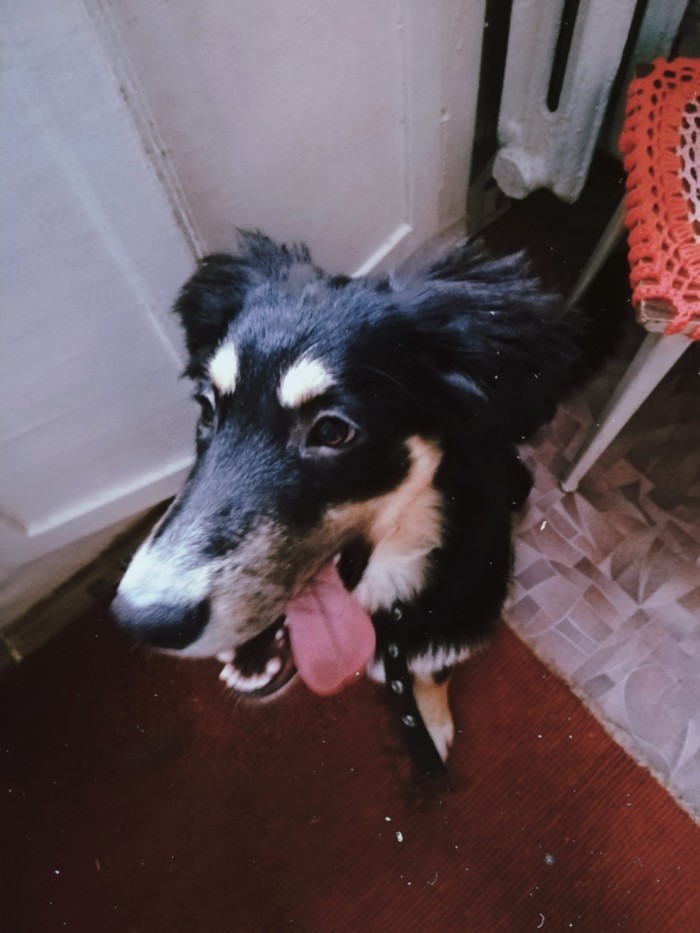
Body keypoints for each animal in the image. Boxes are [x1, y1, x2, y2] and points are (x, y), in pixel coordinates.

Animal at [111, 231, 608, 767]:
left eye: (333, 431)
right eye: (207, 409)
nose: (143, 620)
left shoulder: (454, 620)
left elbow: (435, 671)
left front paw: (432, 722)